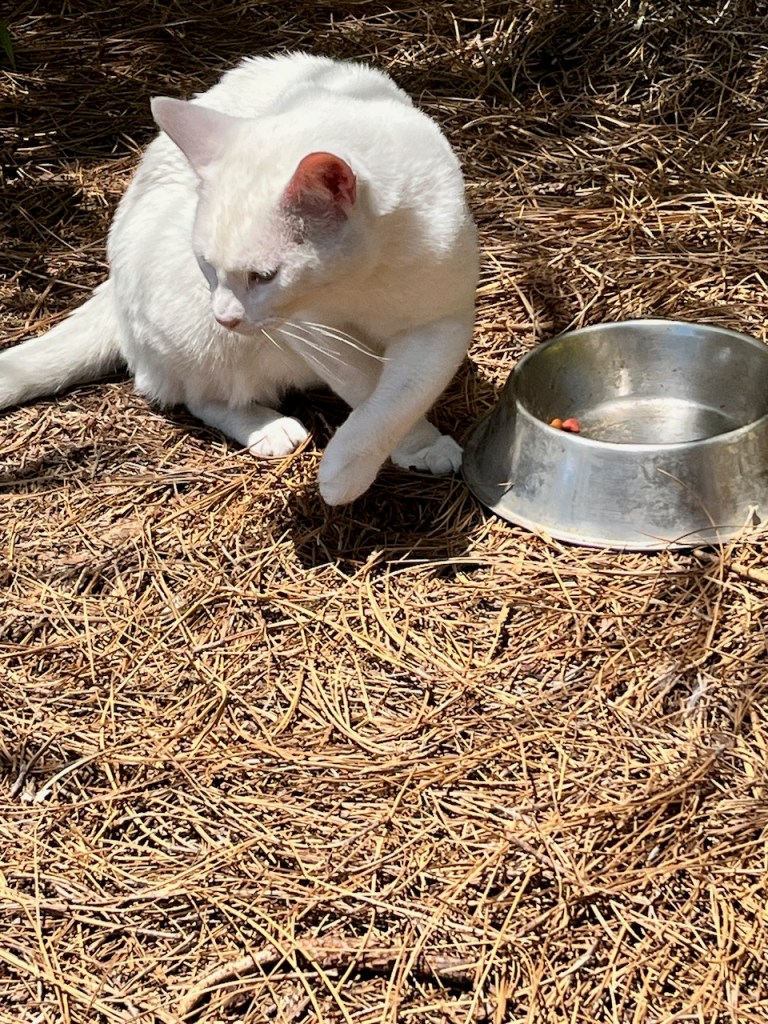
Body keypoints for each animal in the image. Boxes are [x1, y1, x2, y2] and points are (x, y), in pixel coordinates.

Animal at [0, 52, 478, 505]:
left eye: (263, 276)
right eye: (207, 265)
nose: (225, 316)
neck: (361, 282)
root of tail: (112, 286)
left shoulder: (444, 323)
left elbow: (400, 395)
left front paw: (398, 449)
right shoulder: (312, 331)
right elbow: (364, 384)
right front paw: (353, 470)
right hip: (205, 331)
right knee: (194, 394)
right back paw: (270, 428)